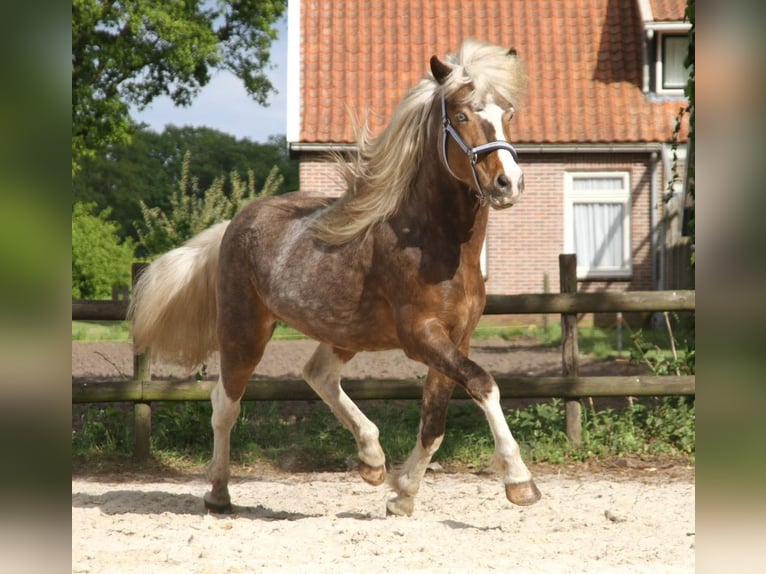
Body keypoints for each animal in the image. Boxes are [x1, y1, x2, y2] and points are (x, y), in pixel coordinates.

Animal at [128, 39, 541, 516]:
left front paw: (402, 494)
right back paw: (218, 493)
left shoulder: (458, 337)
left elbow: (434, 421)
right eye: (460, 115)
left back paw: (372, 460)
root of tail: (236, 222)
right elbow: (483, 384)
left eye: (507, 113)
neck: (435, 243)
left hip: (344, 332)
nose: (509, 183)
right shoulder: (422, 336)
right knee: (225, 404)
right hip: (244, 330)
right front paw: (519, 481)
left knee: (318, 374)